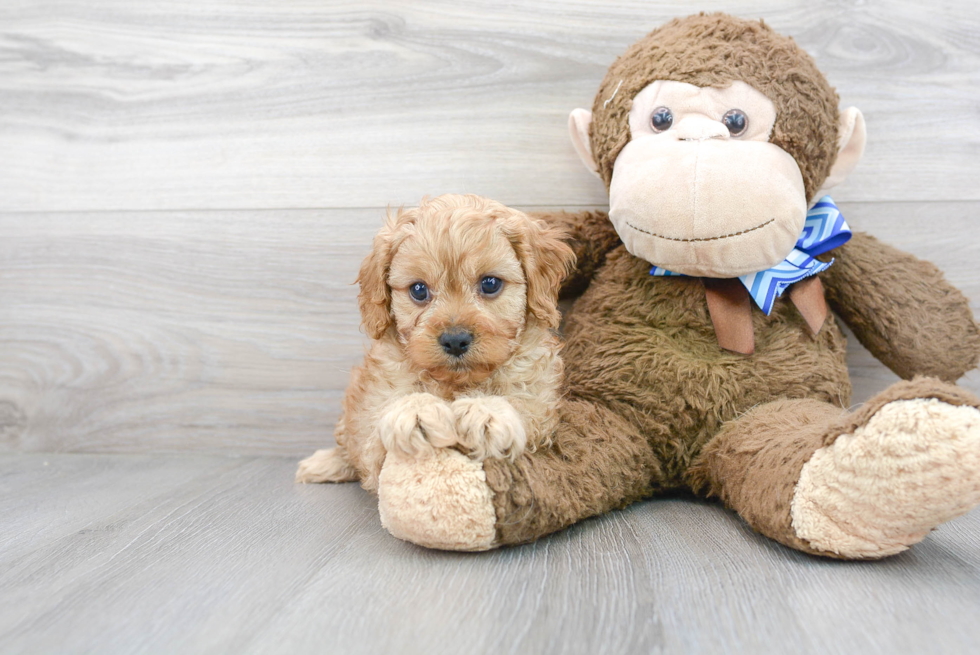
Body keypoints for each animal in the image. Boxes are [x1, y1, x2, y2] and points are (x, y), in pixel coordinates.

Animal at [294, 195, 580, 492]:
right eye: (418, 290)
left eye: (490, 284)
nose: (455, 340)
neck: (455, 384)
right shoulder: (375, 428)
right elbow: (379, 435)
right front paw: (416, 411)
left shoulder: (540, 404)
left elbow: (523, 405)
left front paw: (486, 410)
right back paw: (322, 464)